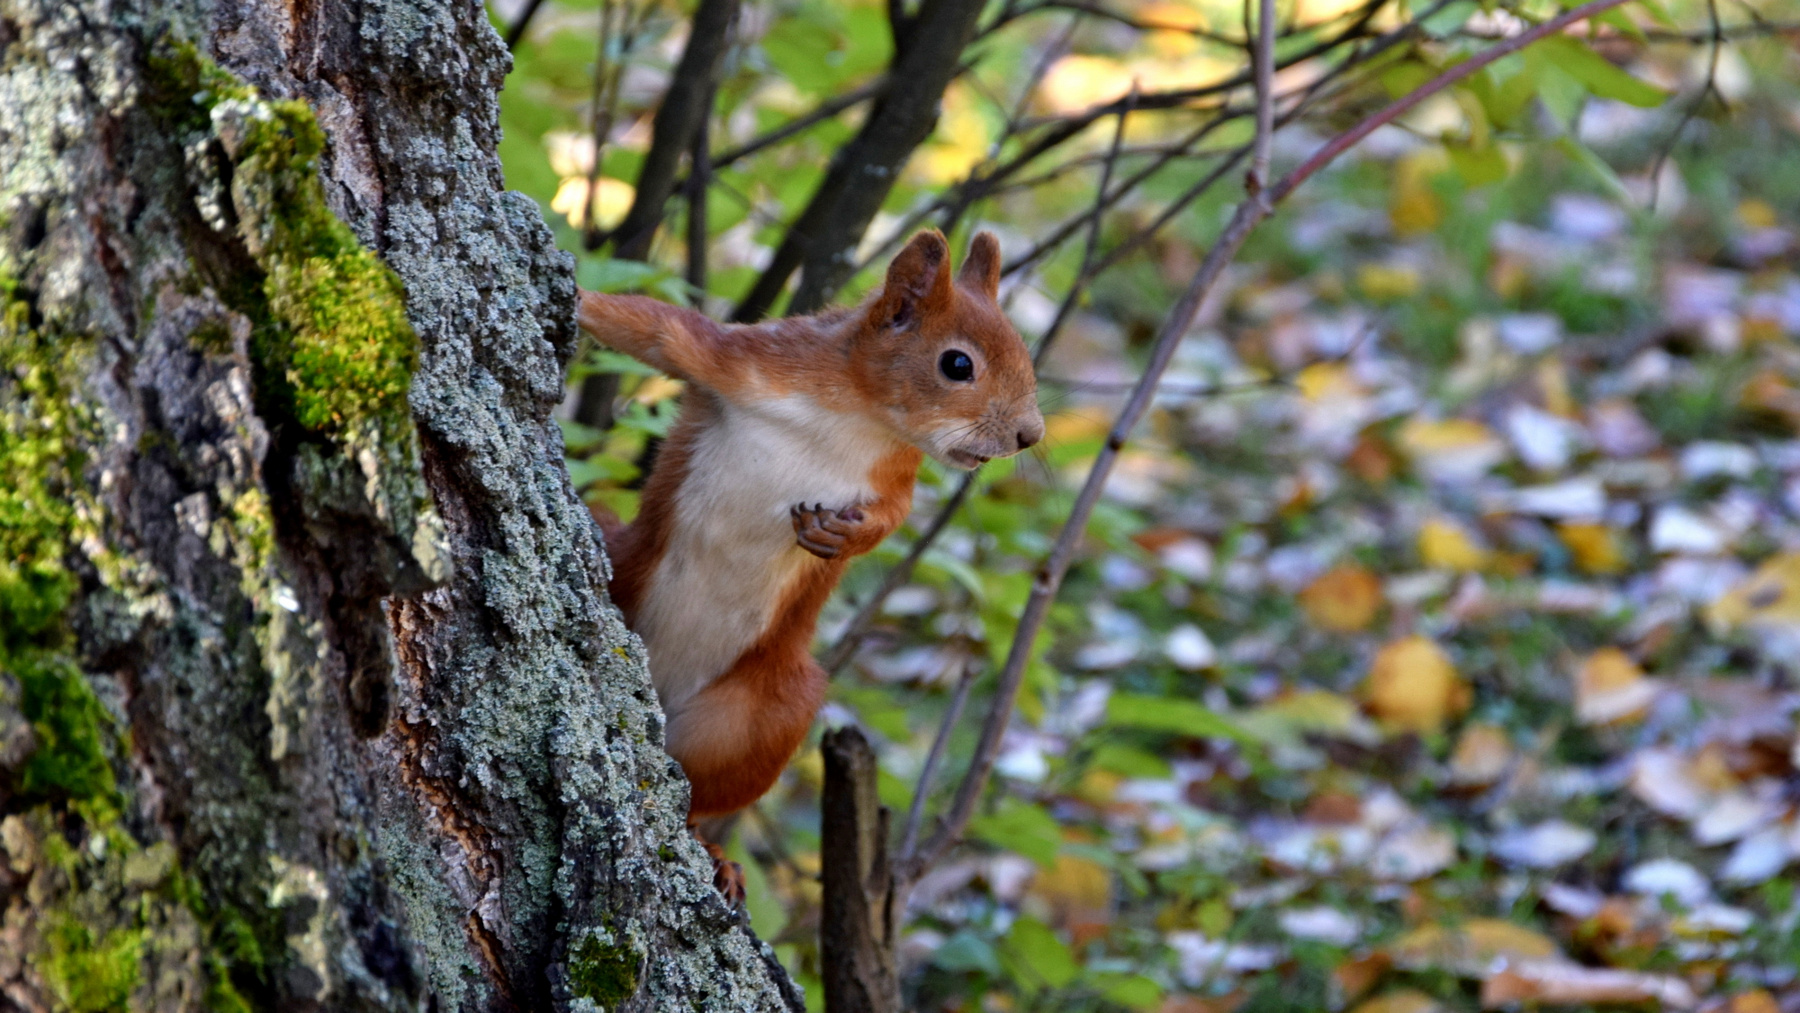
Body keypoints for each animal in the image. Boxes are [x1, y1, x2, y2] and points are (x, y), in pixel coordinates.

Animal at [576, 229, 1044, 896]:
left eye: (1025, 354)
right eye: (958, 364)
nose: (1031, 434)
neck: (856, 414)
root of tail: (656, 689)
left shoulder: (894, 477)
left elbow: (892, 518)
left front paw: (841, 537)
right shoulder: (743, 361)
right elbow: (658, 328)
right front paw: (577, 294)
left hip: (761, 715)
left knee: (694, 794)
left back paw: (713, 853)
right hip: (624, 559)